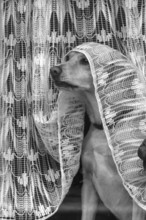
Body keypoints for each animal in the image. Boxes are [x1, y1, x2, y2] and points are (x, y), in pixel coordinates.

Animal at [50, 45, 145, 219]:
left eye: (84, 61)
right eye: (68, 58)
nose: (53, 70)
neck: (104, 129)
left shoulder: (137, 191)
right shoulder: (88, 184)